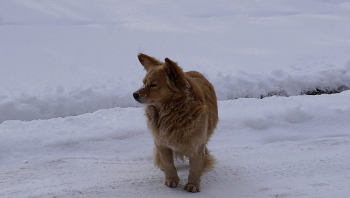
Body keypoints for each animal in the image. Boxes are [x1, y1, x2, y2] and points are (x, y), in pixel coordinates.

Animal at [133, 53, 217, 193]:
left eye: (153, 85)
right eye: (144, 83)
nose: (134, 94)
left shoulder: (197, 144)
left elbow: (195, 167)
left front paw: (193, 184)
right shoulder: (161, 142)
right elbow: (168, 163)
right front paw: (171, 179)